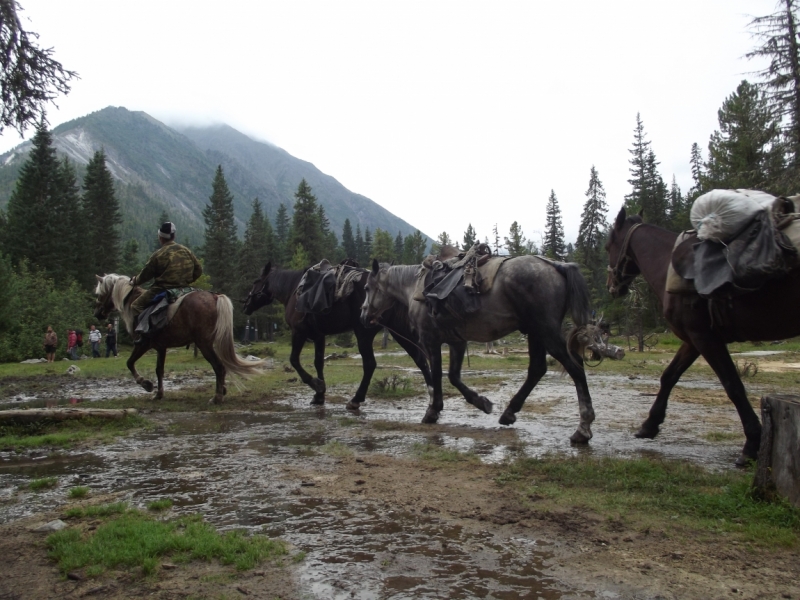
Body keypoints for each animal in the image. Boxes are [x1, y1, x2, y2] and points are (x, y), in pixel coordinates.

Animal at [93, 276, 262, 404]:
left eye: (99, 294)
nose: (97, 314)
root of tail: (215, 296)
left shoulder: (143, 344)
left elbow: (129, 363)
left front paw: (146, 384)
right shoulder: (161, 347)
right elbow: (159, 370)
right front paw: (159, 394)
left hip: (204, 344)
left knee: (219, 366)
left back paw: (217, 397)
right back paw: (222, 390)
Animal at [242, 262, 432, 408]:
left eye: (256, 281)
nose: (245, 306)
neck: (295, 291)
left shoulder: (299, 332)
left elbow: (294, 360)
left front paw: (316, 385)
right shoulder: (319, 335)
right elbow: (318, 362)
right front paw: (319, 395)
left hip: (363, 333)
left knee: (370, 364)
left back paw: (356, 399)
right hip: (398, 330)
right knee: (420, 359)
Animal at [608, 209, 800, 466]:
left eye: (609, 245)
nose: (612, 287)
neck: (668, 265)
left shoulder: (704, 337)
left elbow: (733, 385)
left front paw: (751, 444)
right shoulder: (693, 338)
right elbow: (669, 376)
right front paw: (649, 425)